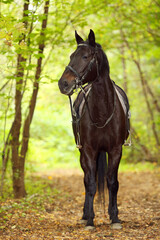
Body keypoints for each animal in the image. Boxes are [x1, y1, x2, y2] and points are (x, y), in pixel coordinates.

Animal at [58, 29, 129, 229]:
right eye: (71, 56)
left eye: (85, 56)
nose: (63, 84)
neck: (103, 113)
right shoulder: (89, 151)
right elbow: (90, 183)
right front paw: (89, 219)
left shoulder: (115, 150)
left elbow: (113, 183)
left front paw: (115, 218)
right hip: (83, 153)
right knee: (86, 179)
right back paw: (85, 215)